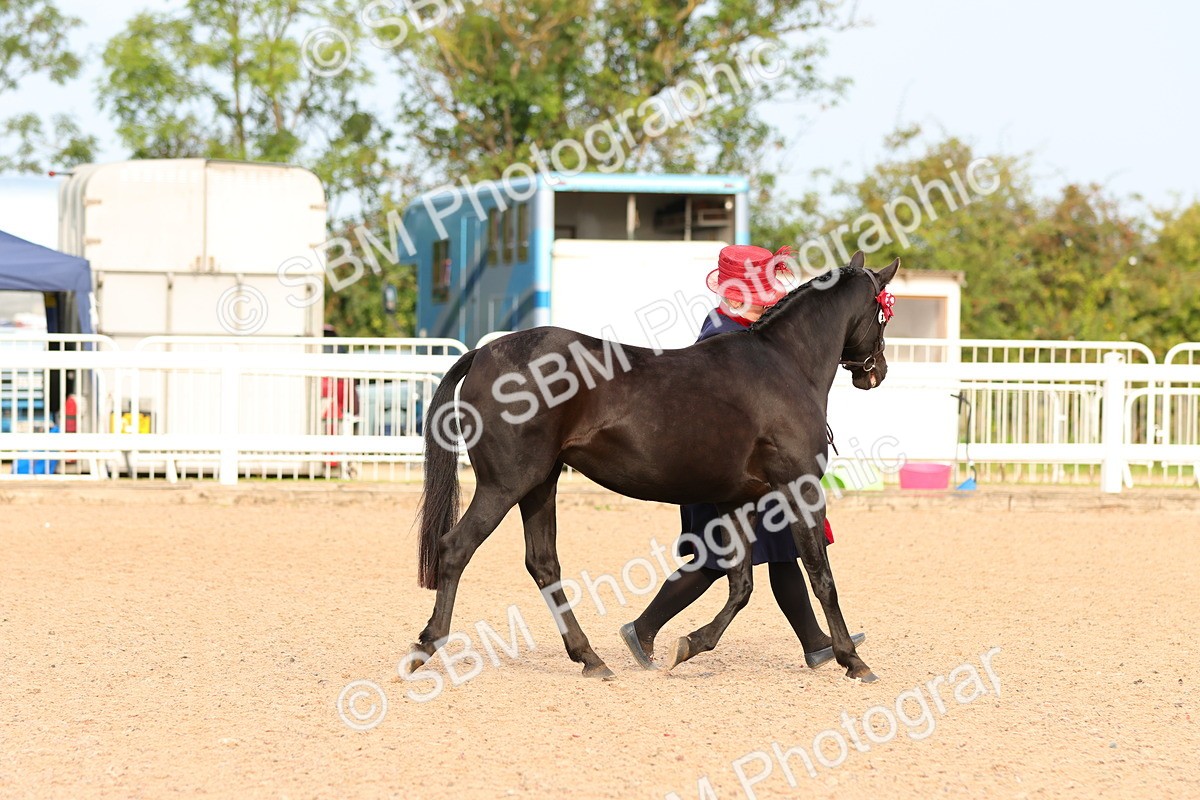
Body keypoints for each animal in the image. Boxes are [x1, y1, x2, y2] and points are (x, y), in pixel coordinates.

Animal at [407, 251, 899, 682]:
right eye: (882, 315)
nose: (876, 372)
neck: (784, 364)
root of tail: (484, 354)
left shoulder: (737, 500)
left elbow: (741, 584)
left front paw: (689, 645)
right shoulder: (800, 488)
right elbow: (820, 575)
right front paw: (853, 660)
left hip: (540, 484)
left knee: (543, 564)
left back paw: (592, 658)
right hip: (505, 483)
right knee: (456, 548)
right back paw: (425, 646)